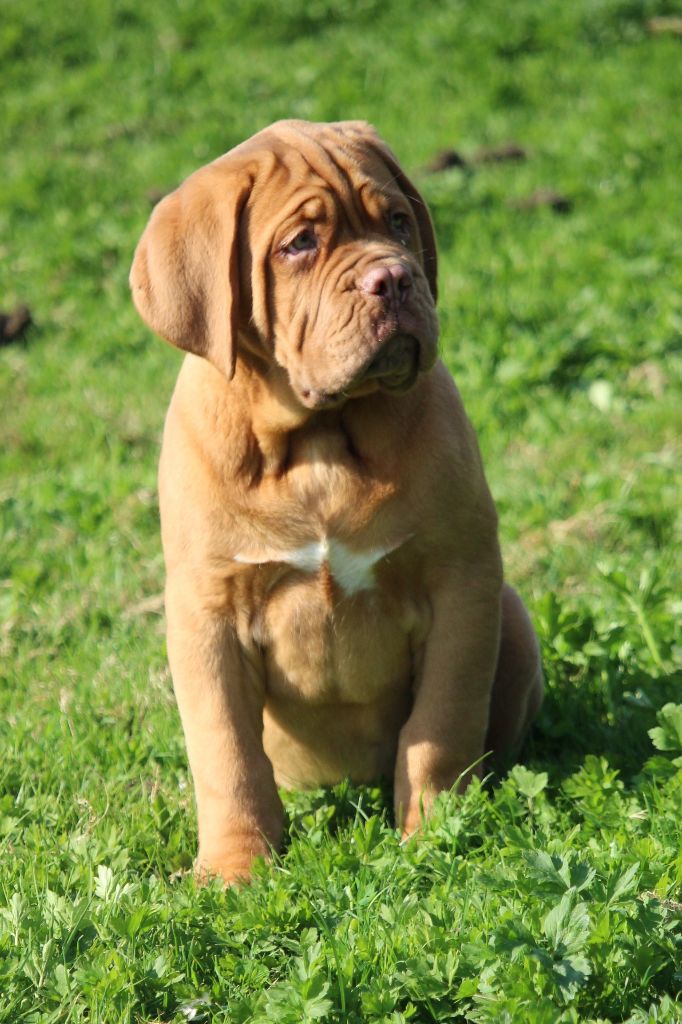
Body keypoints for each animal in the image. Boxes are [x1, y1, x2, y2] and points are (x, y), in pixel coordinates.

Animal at [127, 119, 540, 884]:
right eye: (299, 245)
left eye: (399, 222)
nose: (395, 278)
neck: (318, 439)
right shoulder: (207, 615)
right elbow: (228, 755)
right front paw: (234, 868)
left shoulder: (461, 581)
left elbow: (440, 724)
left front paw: (435, 836)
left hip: (512, 614)